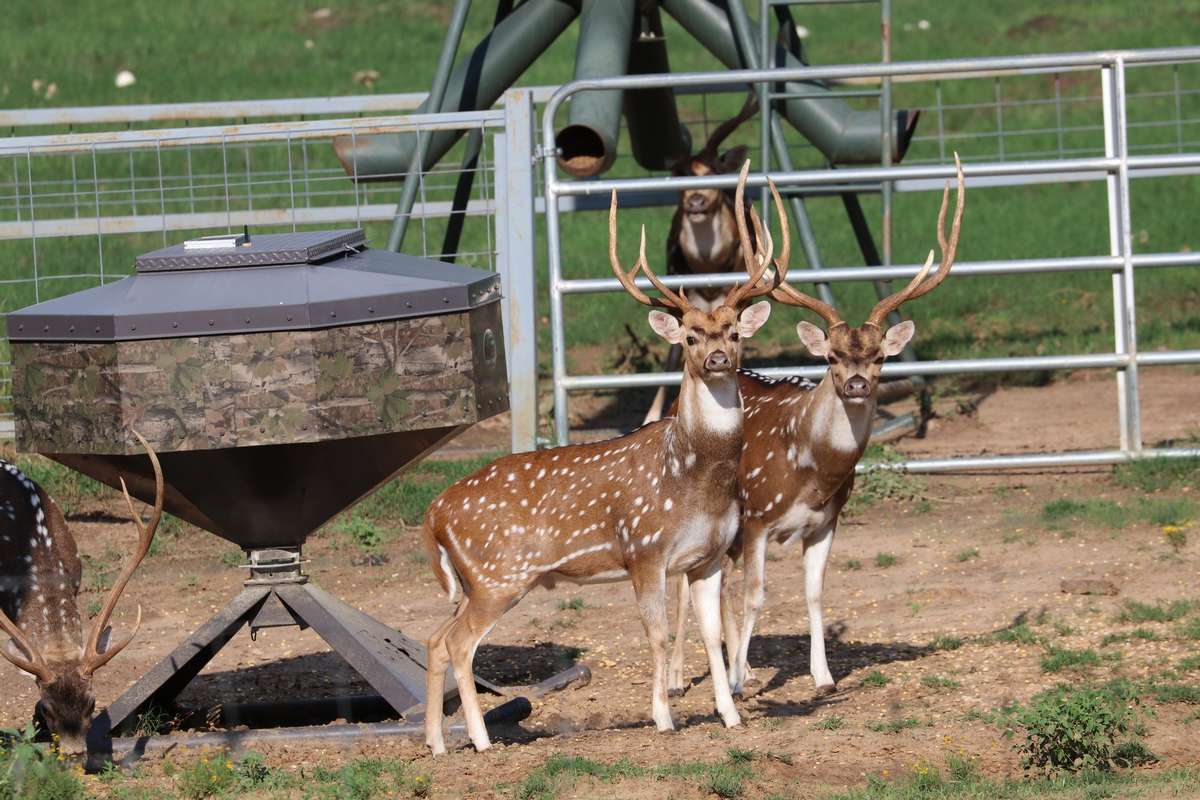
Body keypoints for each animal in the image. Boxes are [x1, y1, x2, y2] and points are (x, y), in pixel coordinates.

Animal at [421, 161, 790, 755]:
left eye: (733, 332)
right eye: (690, 336)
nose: (716, 357)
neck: (696, 481)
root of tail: (432, 513)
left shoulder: (707, 557)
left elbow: (712, 637)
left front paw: (731, 715)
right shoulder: (644, 549)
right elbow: (658, 637)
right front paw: (663, 718)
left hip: (473, 581)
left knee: (434, 638)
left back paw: (435, 742)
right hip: (499, 575)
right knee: (458, 644)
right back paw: (479, 740)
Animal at [643, 92, 760, 424]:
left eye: (712, 173)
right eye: (678, 178)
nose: (695, 201)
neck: (708, 268)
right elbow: (672, 356)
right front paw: (650, 416)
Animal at [668, 155, 965, 700]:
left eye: (880, 357)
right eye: (830, 357)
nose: (855, 384)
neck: (811, 469)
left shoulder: (826, 522)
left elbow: (814, 595)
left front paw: (822, 677)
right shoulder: (759, 518)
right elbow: (758, 596)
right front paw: (737, 683)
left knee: (717, 581)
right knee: (686, 580)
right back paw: (684, 678)